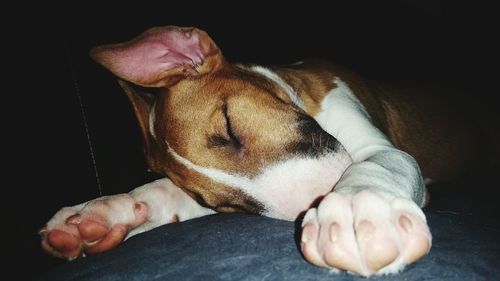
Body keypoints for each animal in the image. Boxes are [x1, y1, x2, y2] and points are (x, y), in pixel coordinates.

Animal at [40, 25, 492, 276]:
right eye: (223, 206)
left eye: (229, 127)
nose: (312, 204)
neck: (298, 89)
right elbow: (162, 193)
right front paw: (95, 218)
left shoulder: (376, 145)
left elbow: (379, 163)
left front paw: (358, 213)